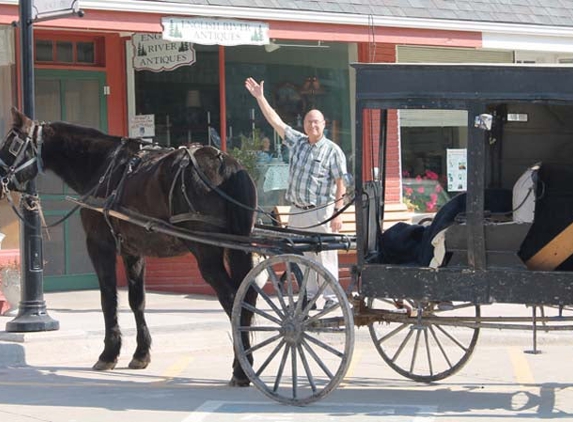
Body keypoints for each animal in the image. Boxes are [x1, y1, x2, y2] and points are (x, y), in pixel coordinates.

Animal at [0, 108, 256, 386]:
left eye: (12, 143)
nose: (1, 179)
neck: (103, 166)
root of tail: (223, 162)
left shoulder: (99, 245)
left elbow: (108, 298)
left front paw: (108, 354)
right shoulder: (133, 251)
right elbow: (137, 301)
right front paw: (141, 354)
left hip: (206, 252)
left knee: (233, 299)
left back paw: (241, 370)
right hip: (237, 248)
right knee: (248, 296)